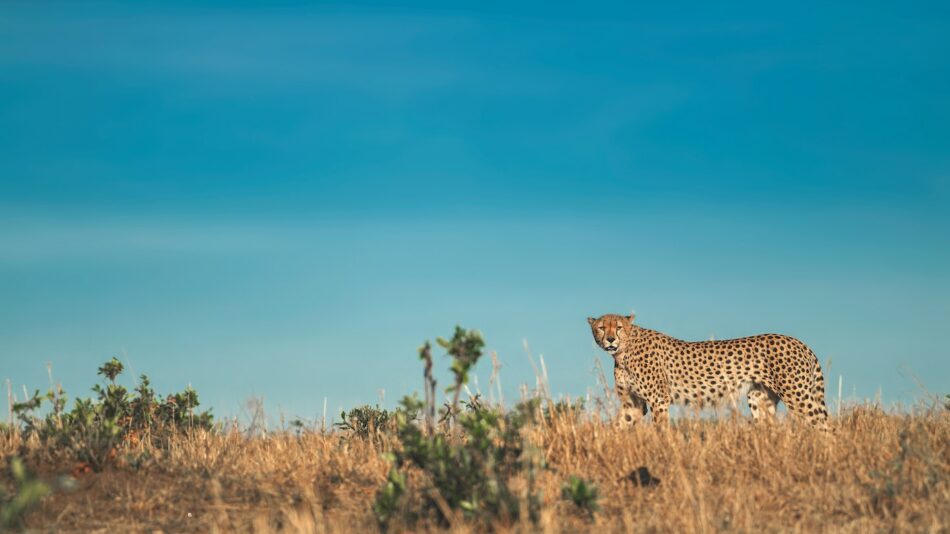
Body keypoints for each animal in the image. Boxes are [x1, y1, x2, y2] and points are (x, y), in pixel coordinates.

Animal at [592, 314, 828, 432]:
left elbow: (660, 428)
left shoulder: (659, 399)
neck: (623, 351)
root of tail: (799, 342)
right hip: (759, 398)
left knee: (825, 426)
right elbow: (620, 424)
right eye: (602, 327)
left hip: (797, 396)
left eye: (618, 327)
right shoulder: (633, 402)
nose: (610, 339)